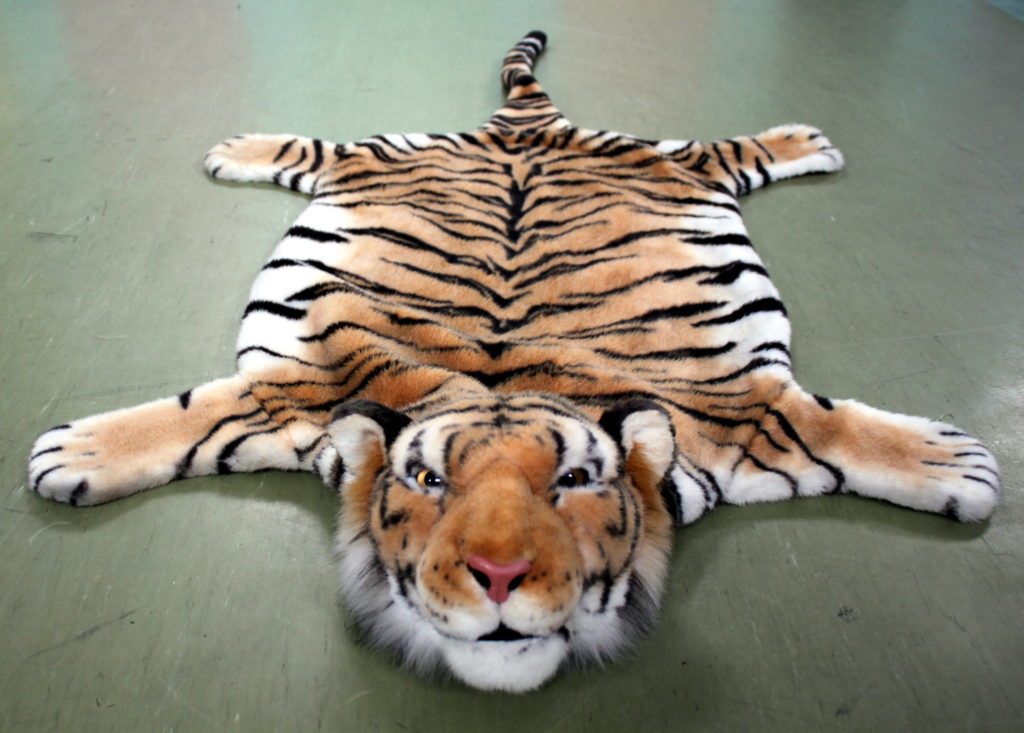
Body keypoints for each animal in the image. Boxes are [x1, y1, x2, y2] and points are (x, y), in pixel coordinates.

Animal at [28, 31, 999, 692]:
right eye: (428, 483)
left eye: (574, 482)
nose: (498, 577)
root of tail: (530, 127)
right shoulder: (290, 389)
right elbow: (182, 416)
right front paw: (72, 453)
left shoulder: (745, 413)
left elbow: (845, 431)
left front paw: (960, 464)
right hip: (387, 158)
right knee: (324, 148)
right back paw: (238, 149)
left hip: (668, 164)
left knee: (725, 151)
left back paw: (805, 140)